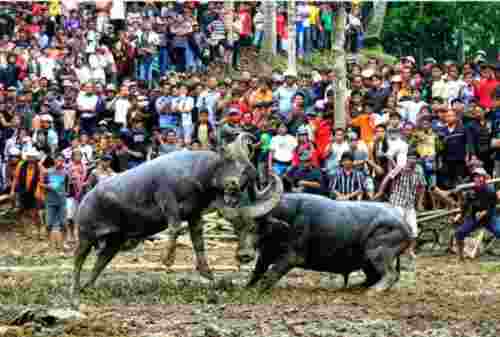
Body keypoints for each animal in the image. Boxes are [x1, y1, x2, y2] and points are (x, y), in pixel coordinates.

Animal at [240, 193, 412, 292]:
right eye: (238, 227)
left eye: (254, 227)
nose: (243, 255)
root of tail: (405, 225)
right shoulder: (265, 253)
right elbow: (257, 271)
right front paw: (245, 287)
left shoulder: (292, 257)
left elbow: (271, 274)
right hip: (367, 260)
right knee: (374, 277)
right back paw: (355, 286)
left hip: (376, 252)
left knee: (390, 275)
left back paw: (373, 291)